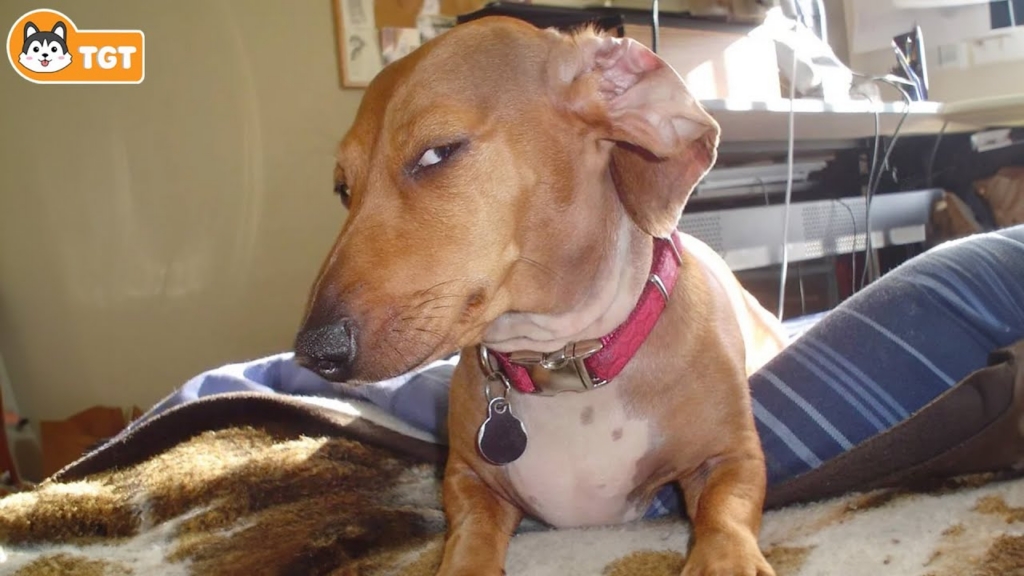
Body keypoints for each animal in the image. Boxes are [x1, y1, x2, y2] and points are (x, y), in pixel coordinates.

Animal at [295, 17, 786, 576]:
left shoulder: (731, 457)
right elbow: (469, 533)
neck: (562, 362)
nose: (315, 350)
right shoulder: (465, 477)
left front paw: (724, 560)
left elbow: (726, 509)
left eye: (437, 152)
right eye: (343, 189)